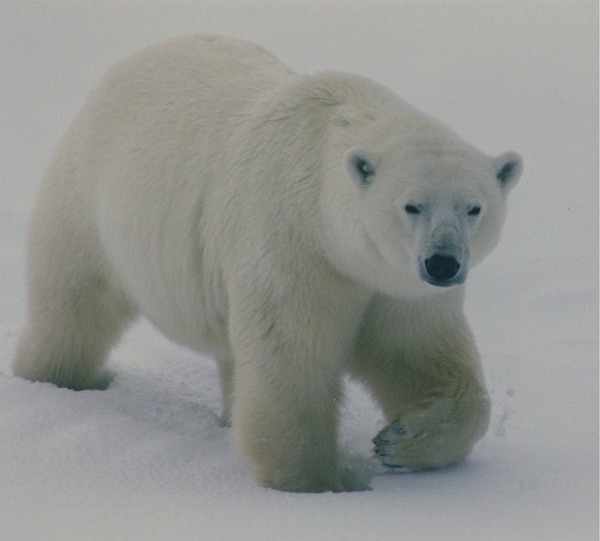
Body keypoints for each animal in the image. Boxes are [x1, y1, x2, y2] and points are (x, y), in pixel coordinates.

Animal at [11, 35, 524, 492]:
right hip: (89, 199)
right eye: (412, 206)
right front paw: (310, 480)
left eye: (473, 207)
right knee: (74, 301)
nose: (443, 263)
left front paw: (400, 442)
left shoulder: (398, 287)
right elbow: (290, 359)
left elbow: (419, 356)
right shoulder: (295, 246)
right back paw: (61, 380)